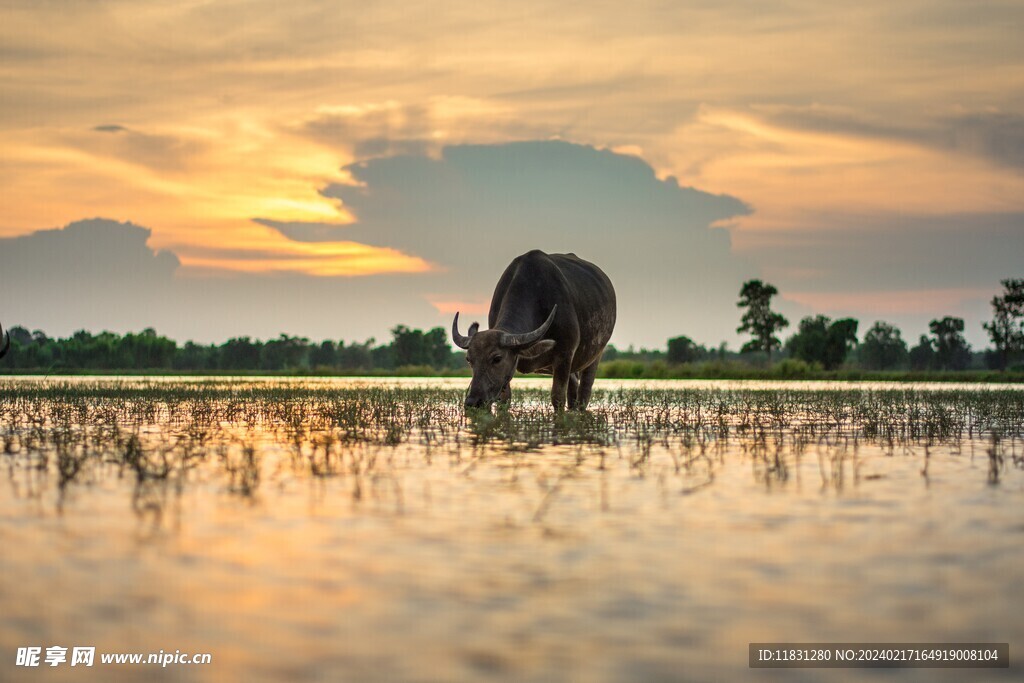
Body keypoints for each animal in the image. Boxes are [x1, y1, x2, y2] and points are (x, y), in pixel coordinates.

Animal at [450, 250, 610, 411]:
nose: (473, 402)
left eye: (497, 358)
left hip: (595, 356)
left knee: (584, 392)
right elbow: (504, 400)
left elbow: (557, 397)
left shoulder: (564, 354)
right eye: (469, 359)